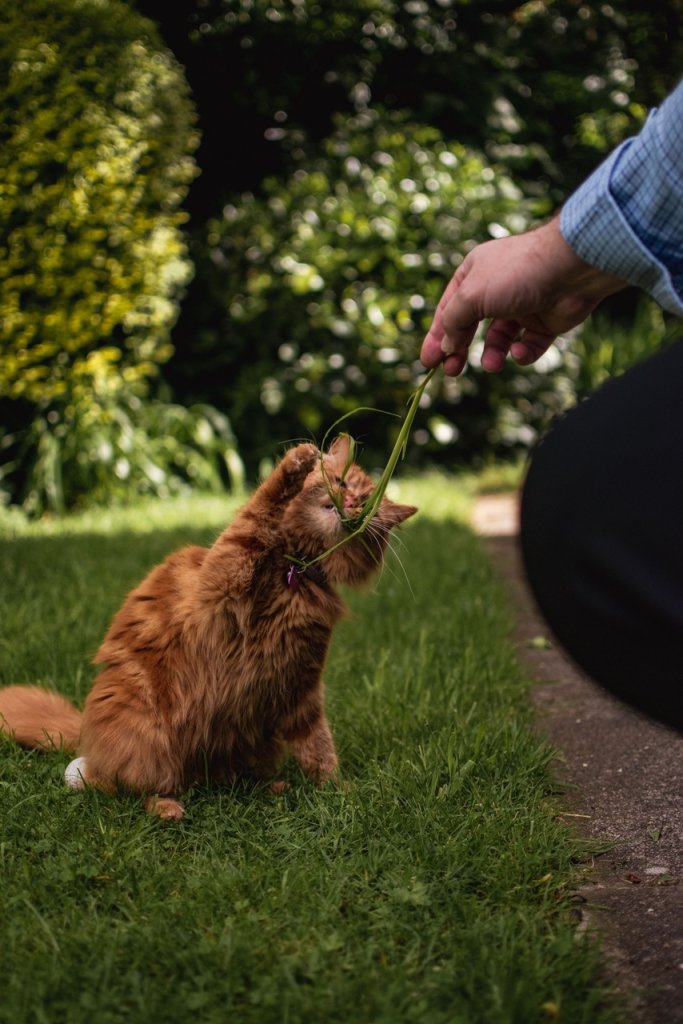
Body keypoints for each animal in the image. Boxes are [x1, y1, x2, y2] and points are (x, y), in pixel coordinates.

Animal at [0, 438, 417, 815]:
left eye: (366, 505)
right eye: (341, 482)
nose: (350, 503)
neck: (294, 570)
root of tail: (88, 736)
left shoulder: (301, 686)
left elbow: (320, 748)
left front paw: (337, 791)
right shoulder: (226, 573)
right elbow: (259, 508)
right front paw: (297, 461)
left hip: (248, 734)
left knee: (226, 781)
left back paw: (272, 787)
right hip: (150, 741)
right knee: (128, 787)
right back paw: (167, 808)